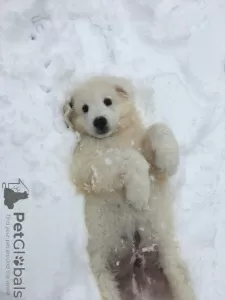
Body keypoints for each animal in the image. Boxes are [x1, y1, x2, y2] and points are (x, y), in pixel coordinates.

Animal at [62, 75, 195, 300]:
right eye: (84, 108)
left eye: (108, 101)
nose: (99, 121)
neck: (112, 137)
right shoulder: (87, 167)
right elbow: (124, 156)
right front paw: (138, 193)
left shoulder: (152, 166)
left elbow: (158, 129)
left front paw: (169, 160)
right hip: (103, 273)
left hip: (170, 262)